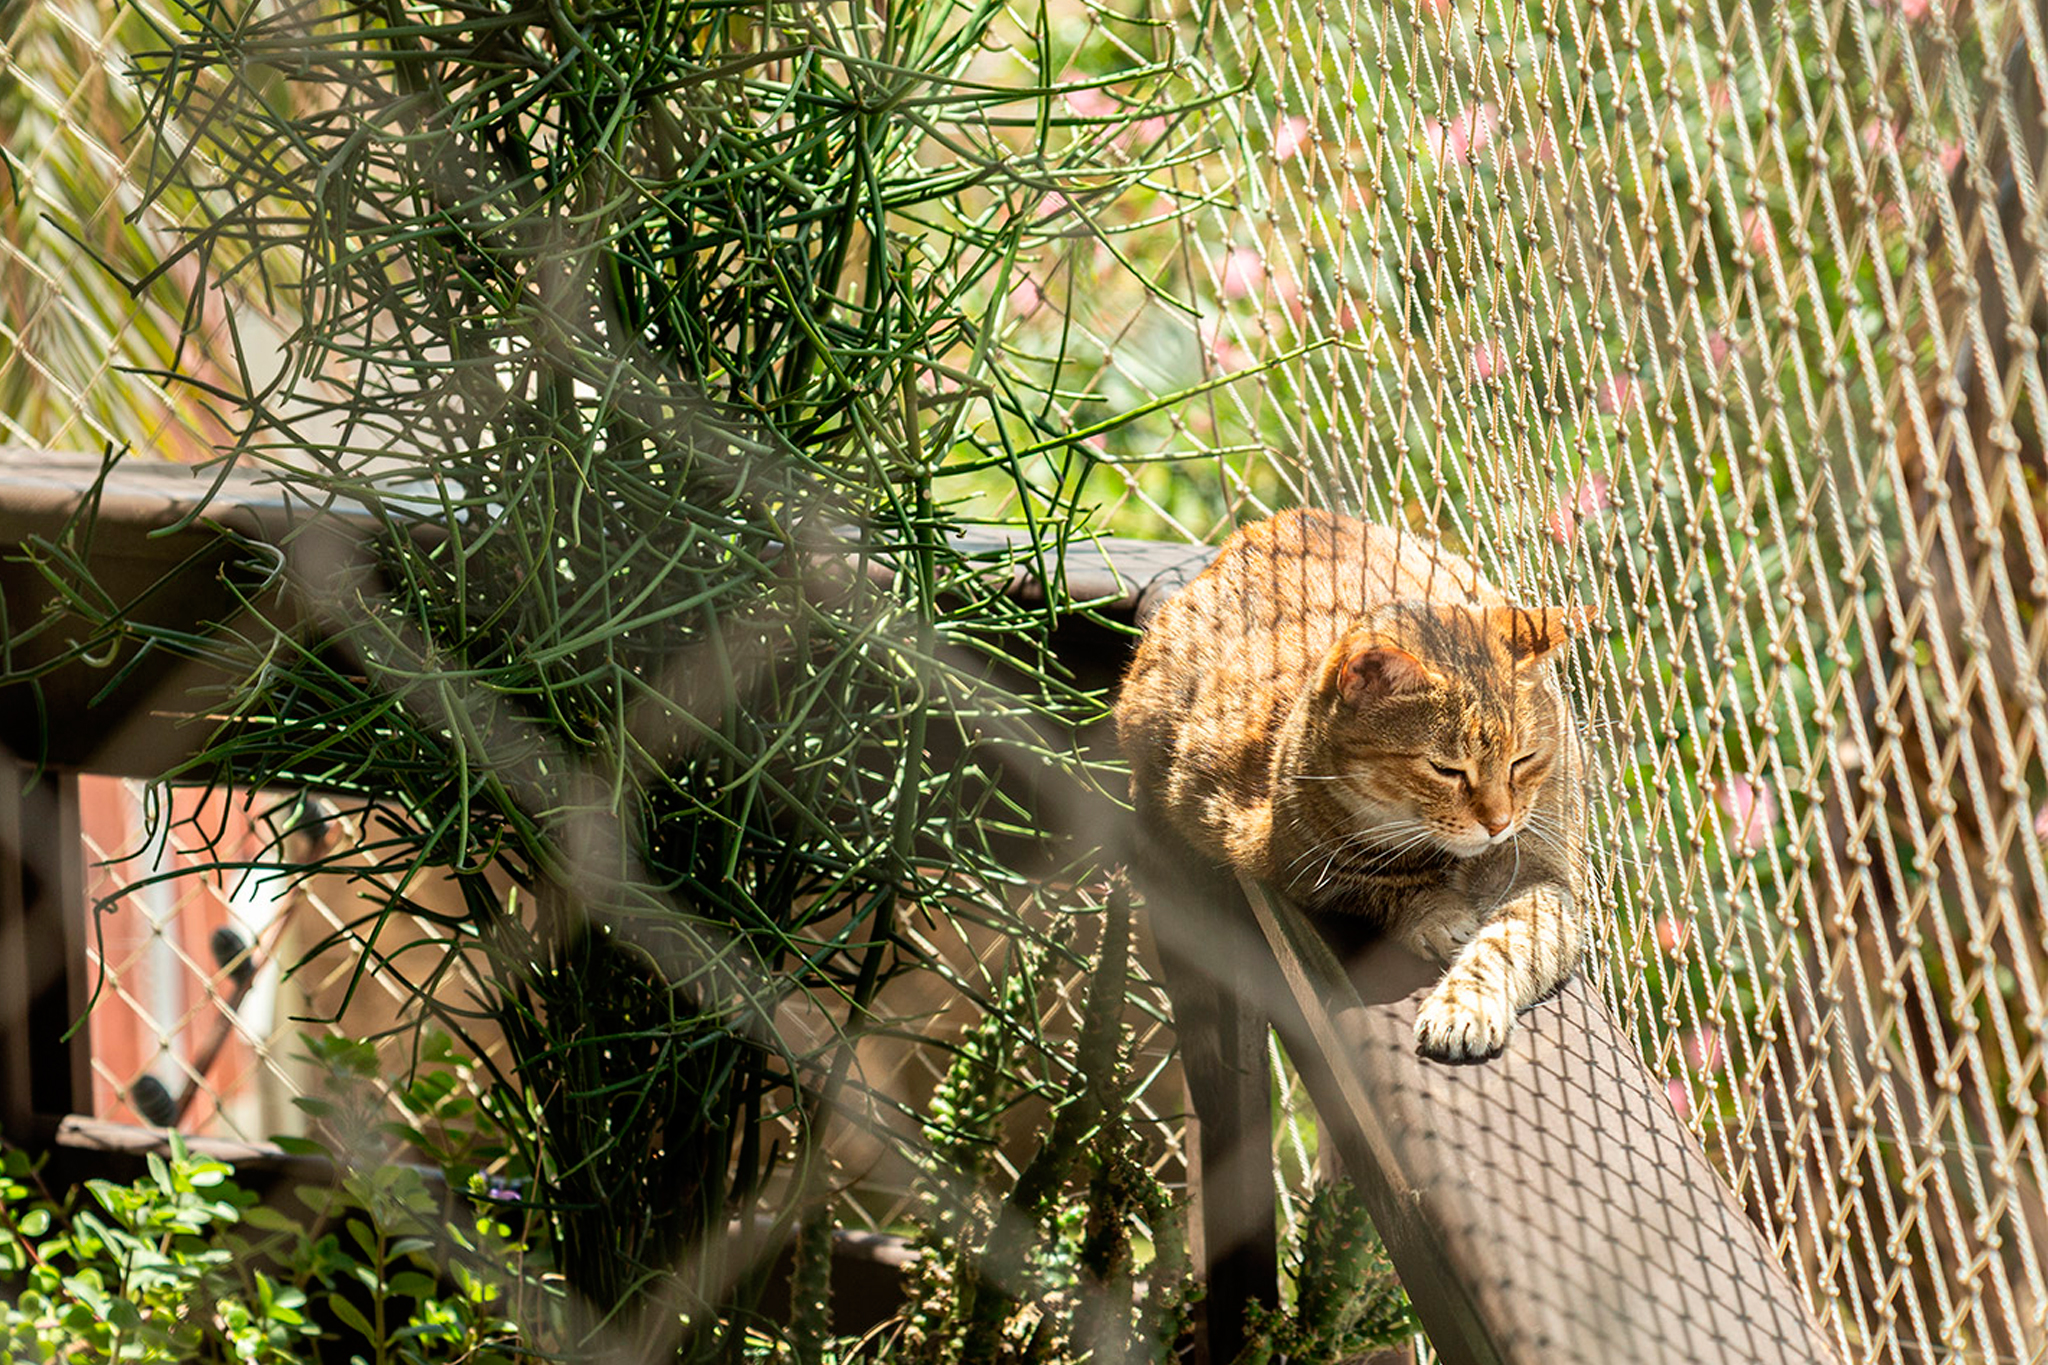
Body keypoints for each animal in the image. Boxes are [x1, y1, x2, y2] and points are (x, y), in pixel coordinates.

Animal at [1114, 507, 1589, 1064]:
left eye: (1523, 760)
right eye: (1446, 769)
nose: (1498, 822)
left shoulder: (1543, 873)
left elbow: (1509, 942)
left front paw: (1465, 1004)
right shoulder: (1290, 858)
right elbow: (1385, 887)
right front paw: (1438, 914)